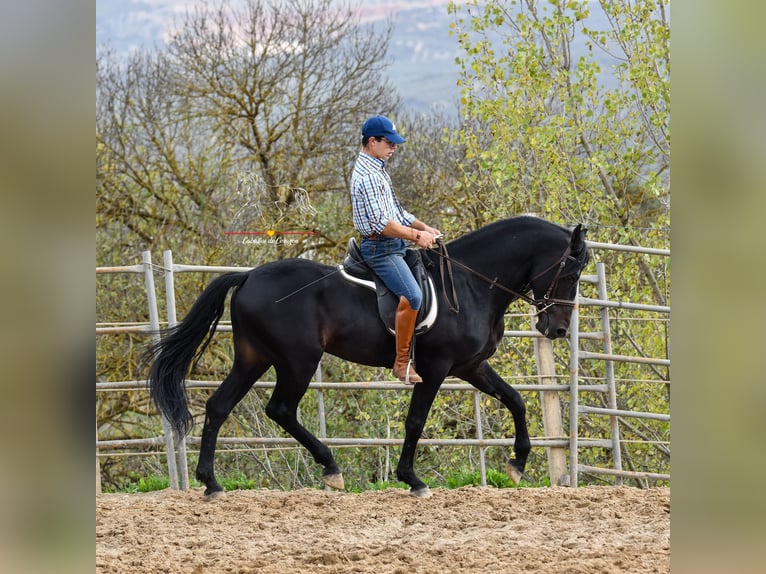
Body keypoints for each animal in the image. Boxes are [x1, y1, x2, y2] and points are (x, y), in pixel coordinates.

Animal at [152, 216, 592, 500]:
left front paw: (517, 464)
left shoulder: (470, 366)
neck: (470, 284)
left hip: (253, 358)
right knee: (280, 409)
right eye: (571, 274)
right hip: (298, 360)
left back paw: (211, 483)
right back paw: (331, 470)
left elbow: (515, 400)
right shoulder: (435, 368)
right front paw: (412, 479)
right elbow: (416, 421)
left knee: (218, 406)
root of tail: (248, 276)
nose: (556, 330)